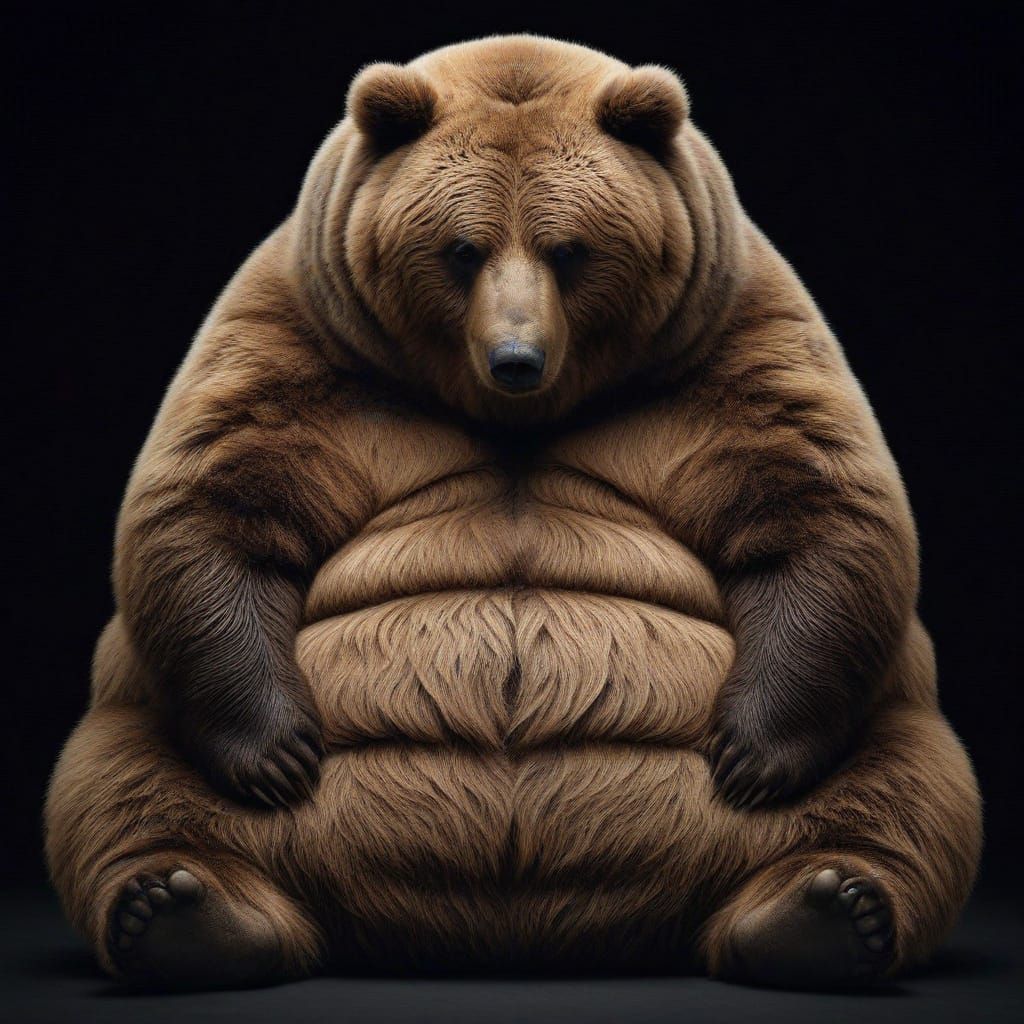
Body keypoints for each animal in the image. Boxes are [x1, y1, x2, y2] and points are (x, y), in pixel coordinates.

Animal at [45, 34, 981, 991]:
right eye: (463, 248)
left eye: (570, 249)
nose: (516, 357)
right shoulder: (306, 339)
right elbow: (212, 496)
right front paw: (281, 753)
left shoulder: (728, 340)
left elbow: (819, 501)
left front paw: (747, 753)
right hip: (145, 728)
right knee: (119, 785)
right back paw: (180, 908)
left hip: (884, 731)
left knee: (909, 789)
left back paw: (828, 908)